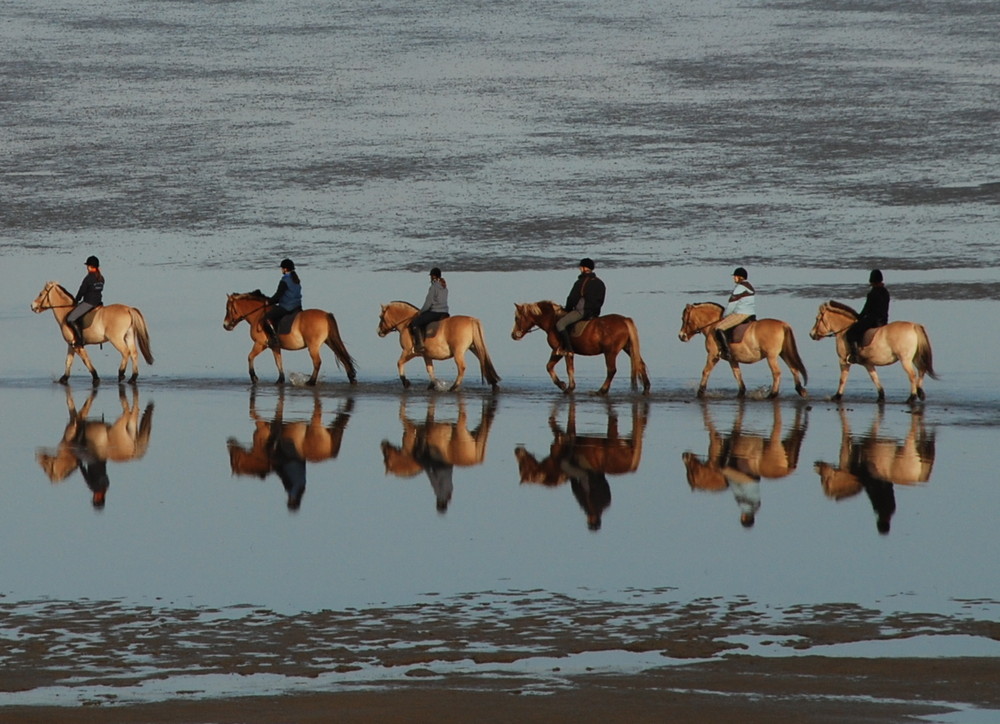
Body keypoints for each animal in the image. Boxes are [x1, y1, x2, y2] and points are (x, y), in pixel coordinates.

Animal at [512, 302, 652, 398]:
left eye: (517, 318)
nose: (513, 335)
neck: (552, 321)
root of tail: (624, 320)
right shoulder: (562, 352)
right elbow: (552, 366)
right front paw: (565, 385)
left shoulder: (559, 350)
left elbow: (564, 368)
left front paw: (566, 387)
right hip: (627, 348)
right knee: (640, 364)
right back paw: (646, 388)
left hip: (610, 352)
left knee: (611, 370)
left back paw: (601, 391)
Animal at [516, 398, 648, 528]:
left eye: (523, 467)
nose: (516, 450)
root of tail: (632, 465)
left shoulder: (561, 438)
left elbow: (557, 418)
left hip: (612, 439)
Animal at [676, 302, 808, 398]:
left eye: (683, 318)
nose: (681, 336)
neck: (713, 325)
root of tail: (783, 324)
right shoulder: (732, 359)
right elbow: (737, 374)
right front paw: (741, 392)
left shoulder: (712, 355)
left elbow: (706, 371)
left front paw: (700, 392)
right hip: (783, 353)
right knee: (793, 368)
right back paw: (800, 390)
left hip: (771, 356)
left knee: (776, 373)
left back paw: (772, 394)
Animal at [804, 298, 936, 402]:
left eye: (817, 319)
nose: (811, 334)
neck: (844, 330)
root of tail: (913, 325)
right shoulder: (868, 363)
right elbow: (874, 378)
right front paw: (881, 396)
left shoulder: (843, 360)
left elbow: (842, 379)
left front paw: (837, 396)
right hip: (915, 357)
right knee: (922, 370)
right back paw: (920, 393)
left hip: (905, 360)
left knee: (912, 375)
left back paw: (912, 397)